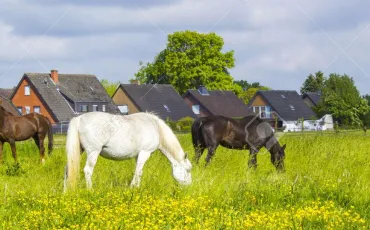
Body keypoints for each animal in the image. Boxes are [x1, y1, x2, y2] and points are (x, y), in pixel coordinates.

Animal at [63, 111, 192, 190]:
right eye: (188, 170)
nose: (188, 187)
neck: (156, 128)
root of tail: (79, 119)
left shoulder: (138, 156)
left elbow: (139, 171)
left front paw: (136, 187)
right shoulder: (145, 153)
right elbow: (138, 172)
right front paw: (133, 188)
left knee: (68, 169)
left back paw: (65, 191)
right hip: (93, 152)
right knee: (88, 170)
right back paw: (90, 190)